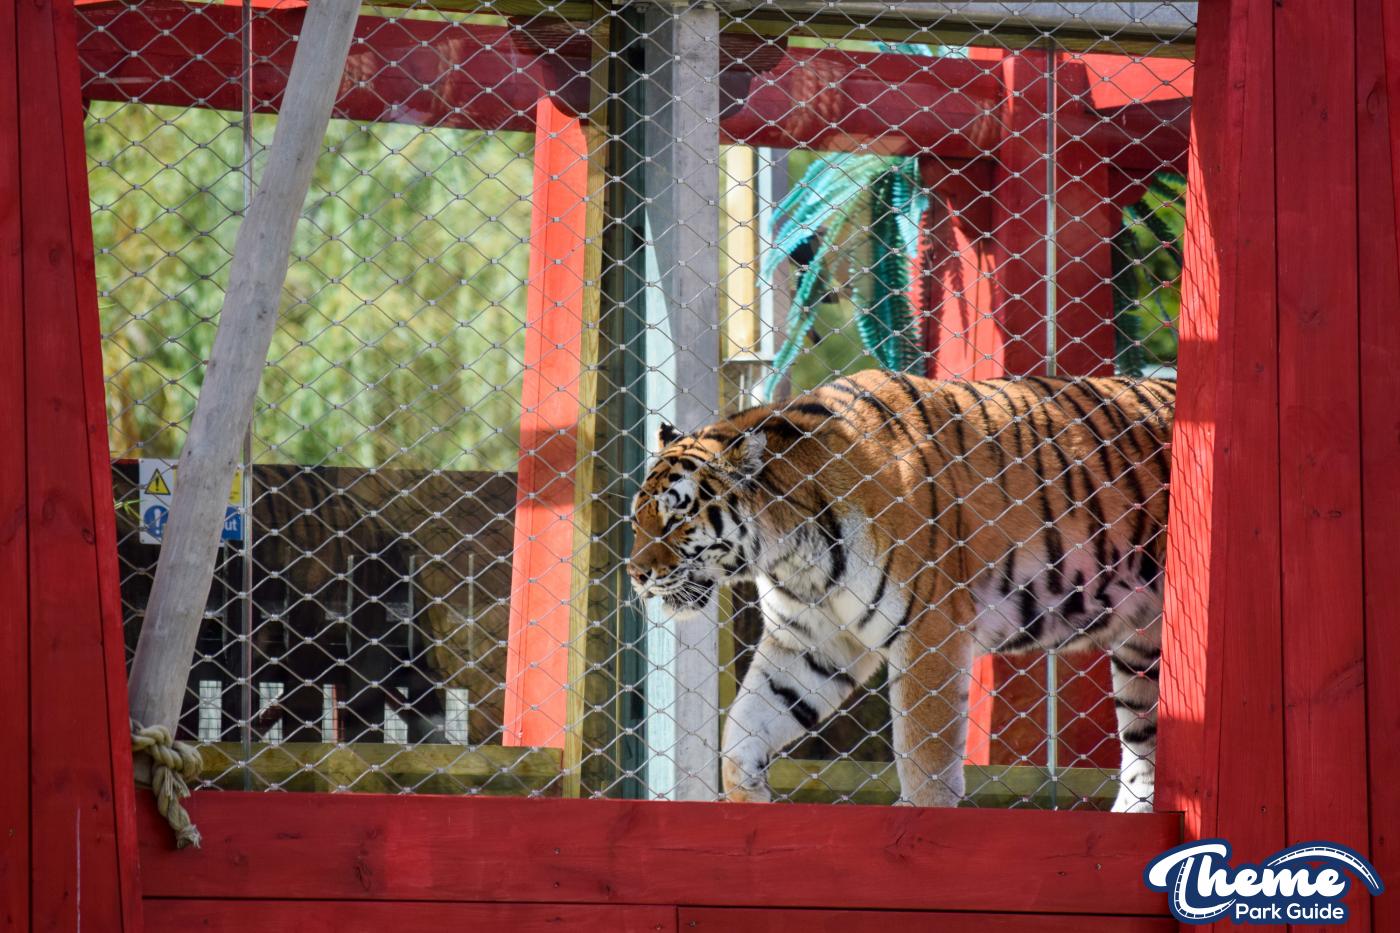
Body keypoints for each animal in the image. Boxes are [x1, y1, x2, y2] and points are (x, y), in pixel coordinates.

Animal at [628, 369, 1174, 812]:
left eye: (676, 519)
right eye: (637, 521)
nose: (636, 574)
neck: (791, 551)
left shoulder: (929, 630)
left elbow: (925, 757)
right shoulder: (808, 640)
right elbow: (742, 733)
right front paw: (750, 802)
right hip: (1141, 651)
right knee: (1143, 746)